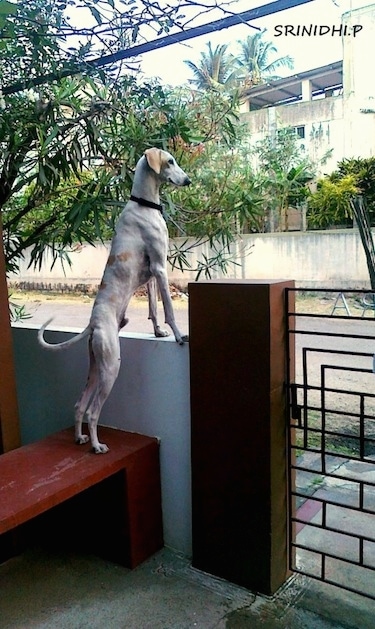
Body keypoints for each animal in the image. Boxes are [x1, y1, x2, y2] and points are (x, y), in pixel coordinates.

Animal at [38, 147, 191, 452]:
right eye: (170, 161)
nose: (188, 181)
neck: (145, 205)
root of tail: (93, 323)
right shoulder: (160, 267)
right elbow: (168, 308)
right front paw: (179, 335)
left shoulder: (150, 275)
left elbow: (154, 307)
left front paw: (158, 332)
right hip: (111, 366)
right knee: (93, 410)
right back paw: (97, 445)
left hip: (96, 367)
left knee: (79, 405)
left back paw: (80, 438)